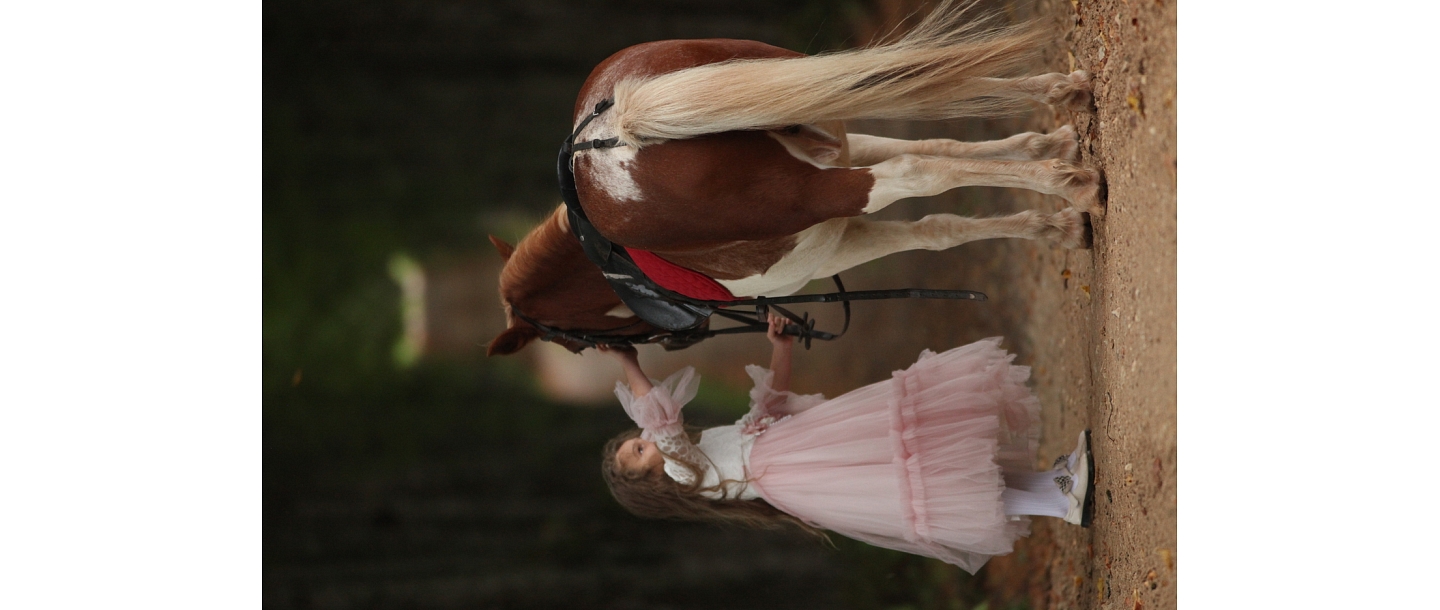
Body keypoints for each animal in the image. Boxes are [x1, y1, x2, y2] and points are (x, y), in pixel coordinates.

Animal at [488, 2, 1102, 356]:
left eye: (577, 344)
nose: (677, 341)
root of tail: (616, 126)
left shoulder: (832, 239)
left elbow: (930, 183)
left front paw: (1061, 198)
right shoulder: (842, 212)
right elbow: (939, 218)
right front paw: (1051, 208)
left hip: (815, 179)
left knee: (913, 167)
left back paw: (1076, 182)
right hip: (807, 95)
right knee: (907, 85)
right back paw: (1065, 107)